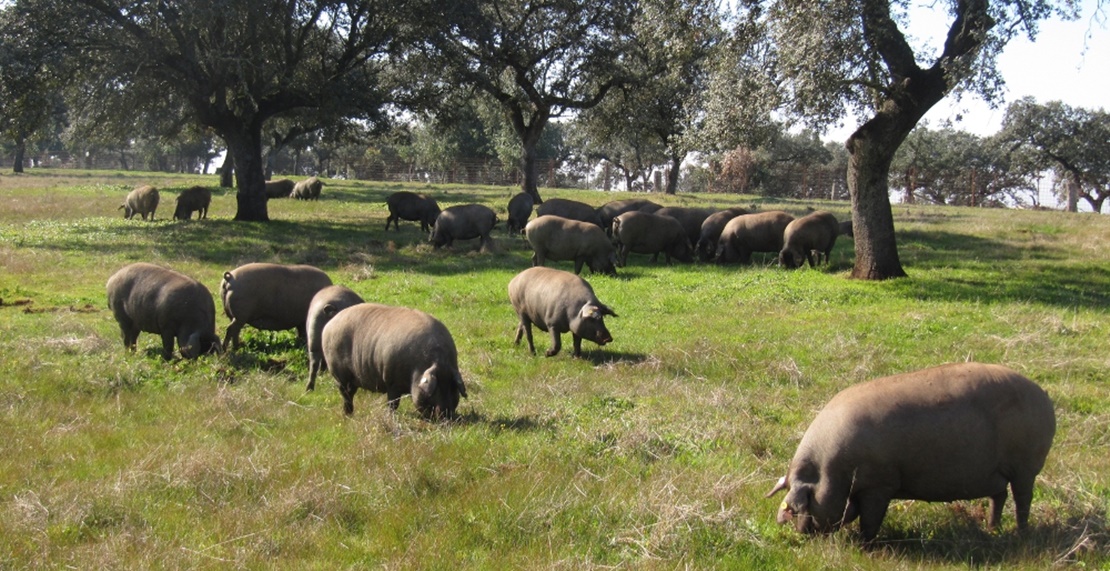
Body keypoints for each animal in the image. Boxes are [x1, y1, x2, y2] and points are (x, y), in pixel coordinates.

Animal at [319, 302, 466, 417]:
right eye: (436, 387)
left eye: (452, 387)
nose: (446, 414)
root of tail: (330, 323)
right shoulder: (391, 381)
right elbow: (393, 403)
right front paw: (390, 416)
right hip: (339, 374)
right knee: (346, 394)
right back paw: (348, 415)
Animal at [768, 362, 1052, 539]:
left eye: (804, 503)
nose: (802, 532)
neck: (833, 471)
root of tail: (1044, 396)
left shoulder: (880, 485)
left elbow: (870, 520)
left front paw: (864, 546)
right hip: (995, 473)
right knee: (999, 496)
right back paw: (993, 530)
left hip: (1026, 467)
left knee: (1022, 498)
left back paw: (1021, 533)